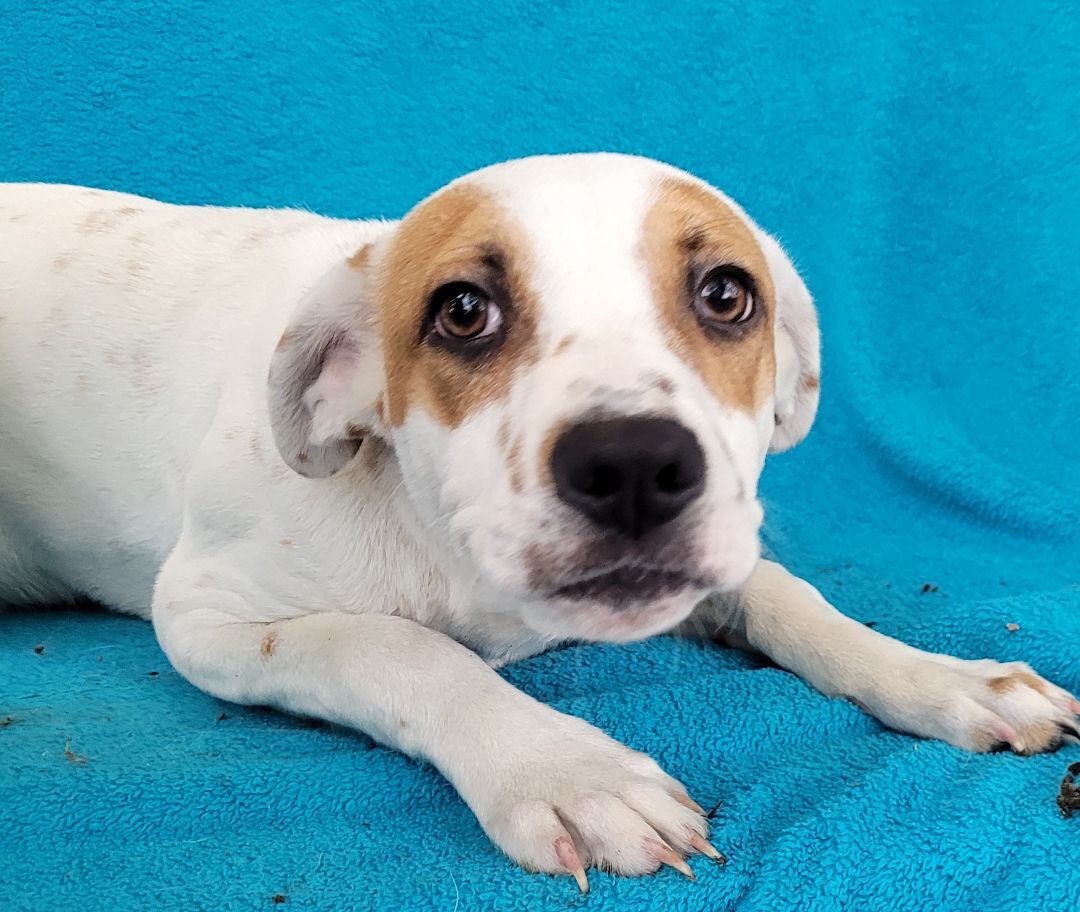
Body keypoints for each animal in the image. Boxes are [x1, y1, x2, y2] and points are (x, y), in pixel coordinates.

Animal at [0, 154, 1075, 890]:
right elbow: (399, 646)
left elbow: (788, 597)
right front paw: (564, 767)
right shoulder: (207, 615)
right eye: (462, 311)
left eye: (727, 295)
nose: (636, 463)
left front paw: (940, 677)